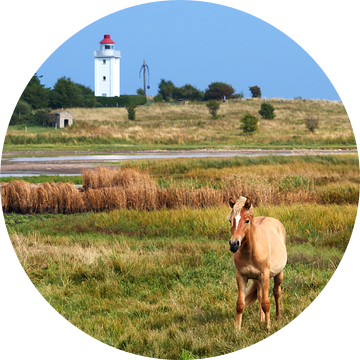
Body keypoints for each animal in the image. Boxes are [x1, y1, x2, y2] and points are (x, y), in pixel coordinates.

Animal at [228, 195, 286, 330]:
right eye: (230, 221)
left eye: (247, 221)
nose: (234, 244)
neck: (251, 251)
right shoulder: (241, 276)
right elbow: (240, 304)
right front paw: (237, 329)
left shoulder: (265, 276)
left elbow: (266, 303)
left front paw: (268, 327)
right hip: (256, 279)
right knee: (260, 295)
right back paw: (261, 319)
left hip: (278, 274)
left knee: (276, 292)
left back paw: (278, 316)